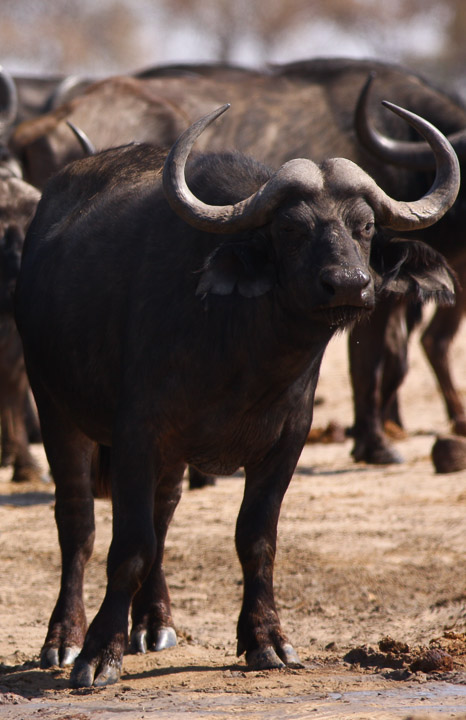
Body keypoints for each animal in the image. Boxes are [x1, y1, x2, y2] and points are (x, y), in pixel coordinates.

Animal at [9, 58, 466, 465]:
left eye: (367, 226)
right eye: (289, 228)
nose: (349, 283)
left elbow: (391, 358)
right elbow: (372, 362)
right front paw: (376, 445)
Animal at [15, 101, 459, 687]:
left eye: (364, 227)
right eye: (291, 228)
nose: (348, 283)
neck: (245, 355)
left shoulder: (285, 443)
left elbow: (255, 539)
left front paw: (266, 639)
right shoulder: (137, 436)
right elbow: (128, 546)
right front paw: (96, 653)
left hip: (170, 458)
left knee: (163, 515)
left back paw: (154, 625)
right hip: (57, 410)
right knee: (78, 522)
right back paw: (63, 638)